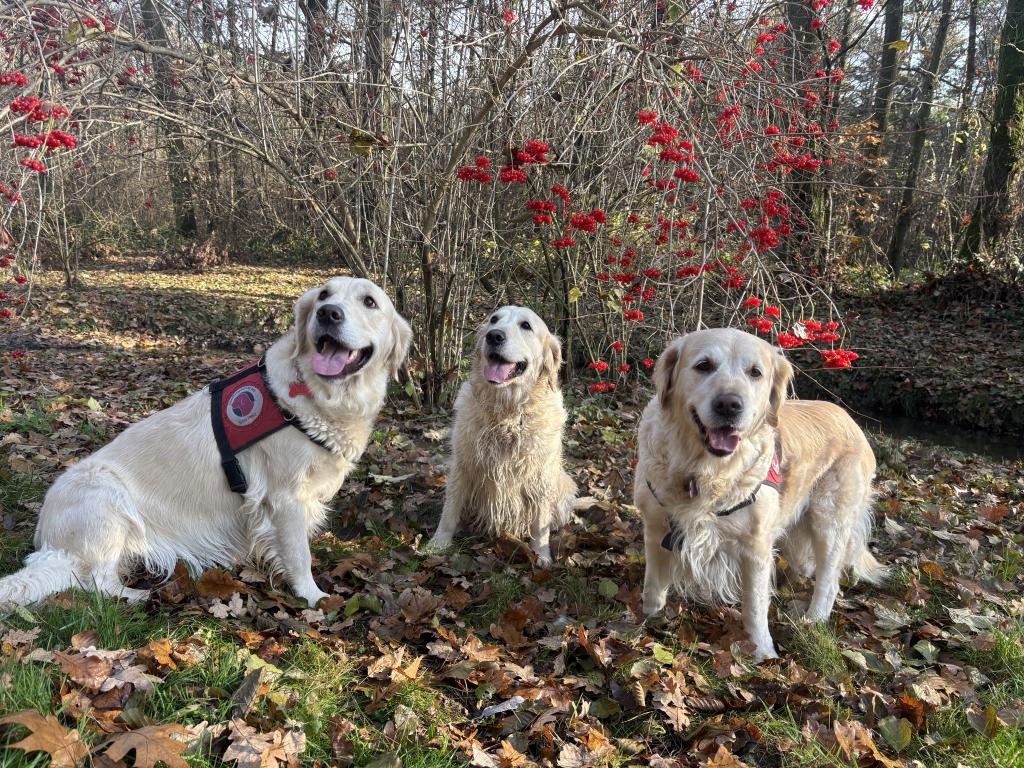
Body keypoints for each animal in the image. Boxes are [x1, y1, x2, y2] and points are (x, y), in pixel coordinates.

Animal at [0, 277, 411, 607]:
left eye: (369, 302)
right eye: (325, 294)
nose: (327, 313)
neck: (321, 395)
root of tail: (48, 539)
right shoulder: (285, 498)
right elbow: (299, 555)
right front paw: (313, 597)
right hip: (107, 500)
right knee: (93, 581)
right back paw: (138, 596)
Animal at [426, 306, 576, 564]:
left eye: (526, 325)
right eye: (494, 319)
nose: (494, 336)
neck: (507, 413)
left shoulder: (541, 475)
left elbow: (540, 523)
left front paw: (541, 555)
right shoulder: (462, 465)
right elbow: (450, 509)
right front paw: (439, 542)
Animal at [634, 328, 885, 660]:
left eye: (755, 372)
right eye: (703, 366)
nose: (729, 405)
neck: (704, 472)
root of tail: (848, 417)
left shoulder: (755, 548)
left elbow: (754, 606)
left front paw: (764, 653)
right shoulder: (656, 528)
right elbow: (651, 587)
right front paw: (646, 621)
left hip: (829, 520)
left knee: (829, 581)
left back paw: (813, 620)